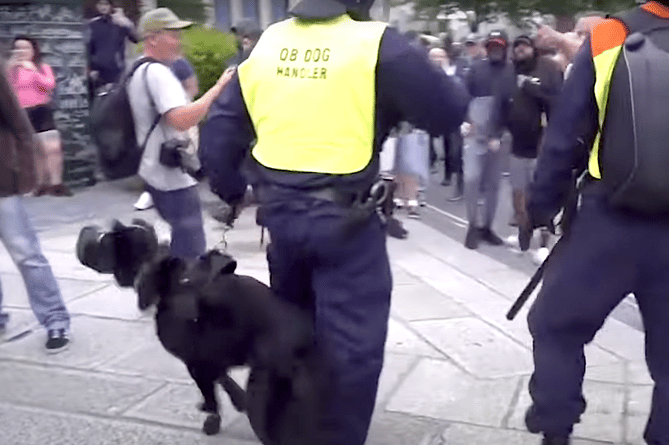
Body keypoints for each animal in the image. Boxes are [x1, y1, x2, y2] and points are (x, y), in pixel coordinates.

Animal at [76, 219, 326, 444]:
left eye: (104, 241)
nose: (84, 232)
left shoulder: (195, 362)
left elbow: (212, 393)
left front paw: (213, 418)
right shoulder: (208, 357)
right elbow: (222, 379)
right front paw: (233, 400)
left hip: (264, 383)